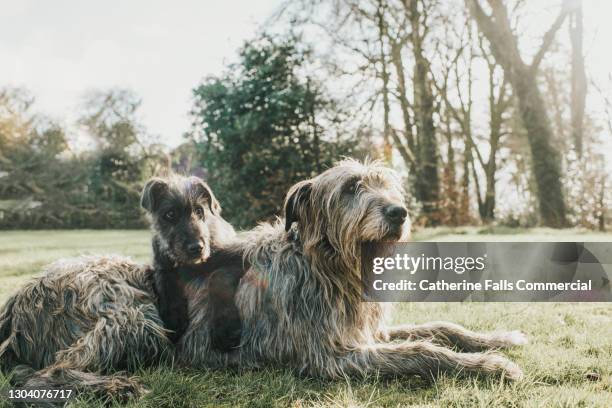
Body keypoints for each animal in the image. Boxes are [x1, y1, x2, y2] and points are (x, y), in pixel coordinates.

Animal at [140, 174, 243, 350]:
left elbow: (218, 278)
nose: (197, 248)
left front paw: (225, 328)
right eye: (170, 214)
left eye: (199, 211)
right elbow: (166, 287)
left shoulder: (237, 257)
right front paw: (174, 318)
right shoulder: (162, 268)